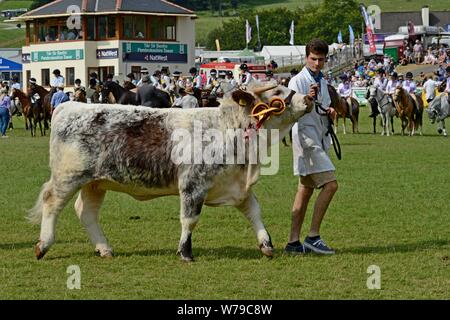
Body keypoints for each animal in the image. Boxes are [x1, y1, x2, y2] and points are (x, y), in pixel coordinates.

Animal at [28, 84, 312, 262]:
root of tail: (69, 106)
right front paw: (185, 252)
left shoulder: (236, 186)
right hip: (68, 176)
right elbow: (190, 220)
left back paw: (104, 248)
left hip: (95, 183)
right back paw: (43, 245)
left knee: (85, 212)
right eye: (277, 92)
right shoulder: (192, 185)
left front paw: (266, 245)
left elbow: (255, 213)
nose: (309, 98)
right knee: (52, 203)